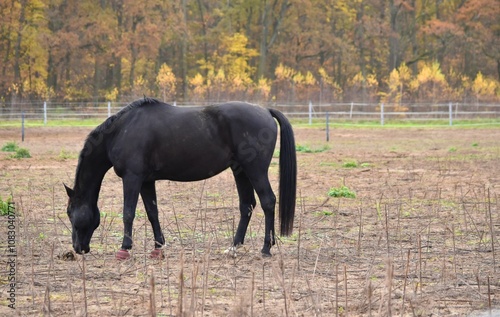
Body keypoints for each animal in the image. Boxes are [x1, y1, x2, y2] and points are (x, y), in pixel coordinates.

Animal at [64, 97, 294, 258]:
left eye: (70, 212)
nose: (78, 248)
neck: (121, 131)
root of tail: (265, 111)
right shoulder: (146, 181)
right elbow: (152, 213)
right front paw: (158, 247)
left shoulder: (132, 178)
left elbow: (128, 212)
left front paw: (124, 249)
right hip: (240, 170)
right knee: (247, 205)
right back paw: (234, 247)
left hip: (255, 170)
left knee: (268, 201)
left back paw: (266, 248)